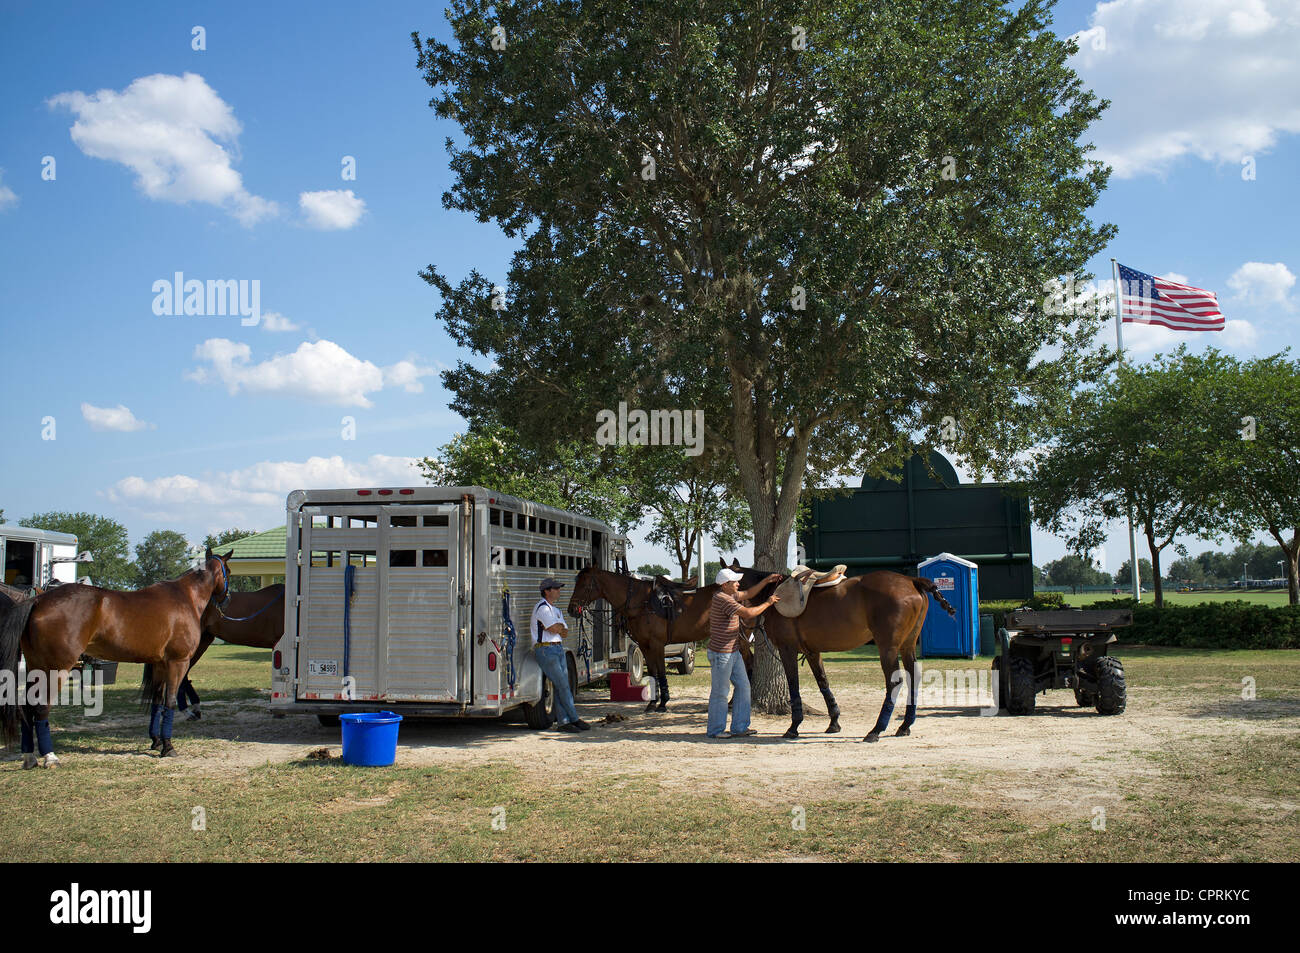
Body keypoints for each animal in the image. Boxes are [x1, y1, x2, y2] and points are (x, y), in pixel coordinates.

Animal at [1, 546, 233, 764]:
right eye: (229, 571)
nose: (227, 599)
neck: (185, 597)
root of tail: (38, 601)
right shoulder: (178, 662)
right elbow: (169, 702)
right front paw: (168, 746)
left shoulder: (160, 664)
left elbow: (157, 702)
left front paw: (156, 741)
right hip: (55, 669)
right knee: (40, 708)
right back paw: (50, 757)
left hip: (35, 667)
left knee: (26, 708)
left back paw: (29, 757)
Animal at [566, 564, 759, 712]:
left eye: (584, 585)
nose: (571, 609)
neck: (641, 602)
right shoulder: (645, 646)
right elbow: (652, 672)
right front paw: (653, 702)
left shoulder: (657, 644)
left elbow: (660, 672)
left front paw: (663, 703)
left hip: (740, 639)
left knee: (749, 663)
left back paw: (735, 702)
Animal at [733, 556, 956, 743]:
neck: (772, 594)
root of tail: (912, 580)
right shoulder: (812, 652)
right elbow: (823, 683)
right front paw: (834, 722)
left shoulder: (787, 649)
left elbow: (793, 685)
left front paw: (794, 726)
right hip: (907, 646)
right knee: (913, 678)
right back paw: (905, 725)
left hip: (888, 648)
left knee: (894, 682)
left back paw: (876, 729)